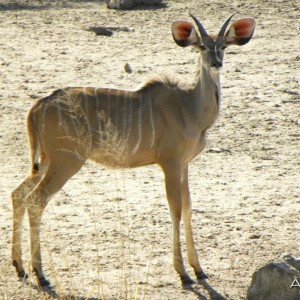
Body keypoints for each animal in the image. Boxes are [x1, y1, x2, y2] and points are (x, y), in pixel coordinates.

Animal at [11, 14, 255, 286]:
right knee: (36, 200)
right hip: (66, 162)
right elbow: (175, 209)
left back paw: (19, 267)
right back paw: (40, 274)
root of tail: (36, 108)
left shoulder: (184, 164)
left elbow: (188, 207)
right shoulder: (170, 163)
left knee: (17, 194)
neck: (190, 107)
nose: (216, 63)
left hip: (45, 161)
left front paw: (199, 269)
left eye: (223, 46)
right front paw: (183, 273)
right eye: (201, 46)